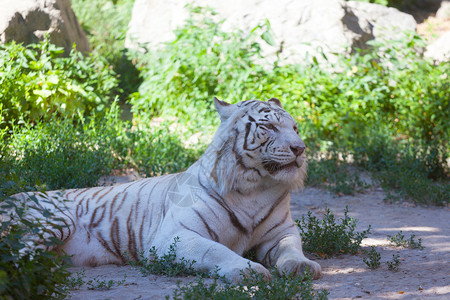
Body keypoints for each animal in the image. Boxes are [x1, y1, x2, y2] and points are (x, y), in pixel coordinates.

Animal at [12, 98, 322, 282]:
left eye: (295, 127)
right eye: (269, 126)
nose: (300, 149)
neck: (255, 187)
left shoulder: (281, 232)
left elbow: (291, 248)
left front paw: (303, 266)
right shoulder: (174, 236)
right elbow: (216, 250)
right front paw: (249, 270)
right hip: (53, 222)